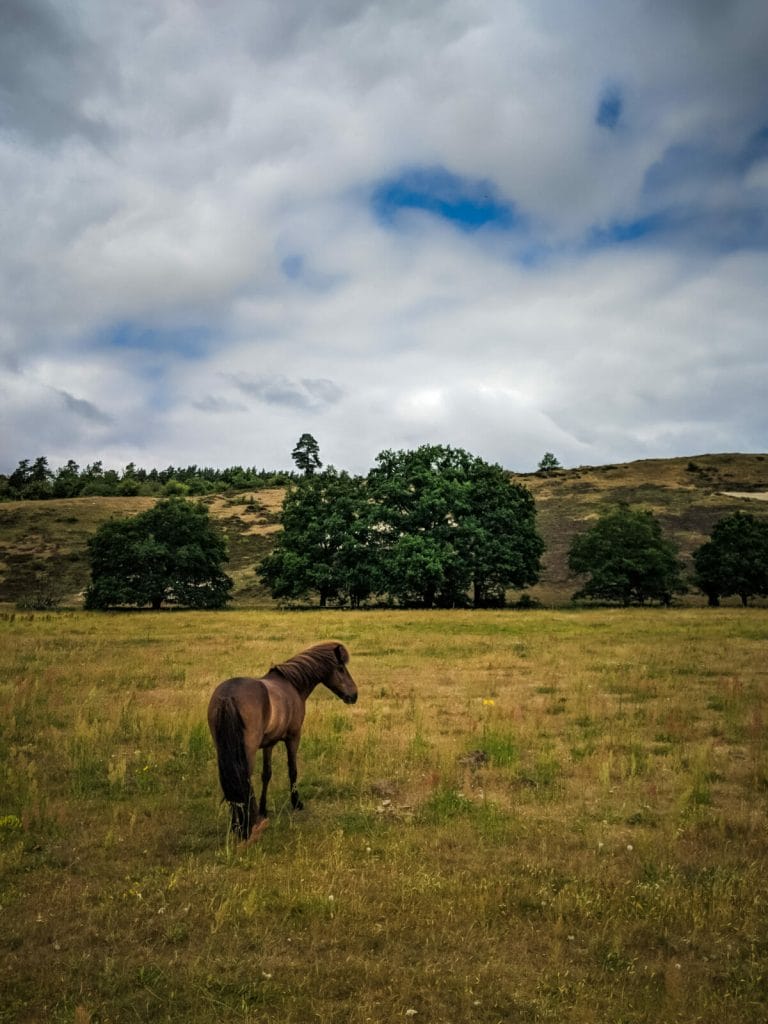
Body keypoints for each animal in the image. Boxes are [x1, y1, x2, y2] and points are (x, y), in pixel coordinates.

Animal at [205, 643, 360, 843]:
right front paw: (296, 802)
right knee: (242, 780)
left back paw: (238, 825)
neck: (291, 685)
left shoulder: (269, 744)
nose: (354, 695)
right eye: (340, 668)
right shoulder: (293, 737)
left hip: (224, 751)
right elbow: (292, 770)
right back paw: (247, 827)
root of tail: (227, 697)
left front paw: (263, 809)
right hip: (247, 753)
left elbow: (266, 774)